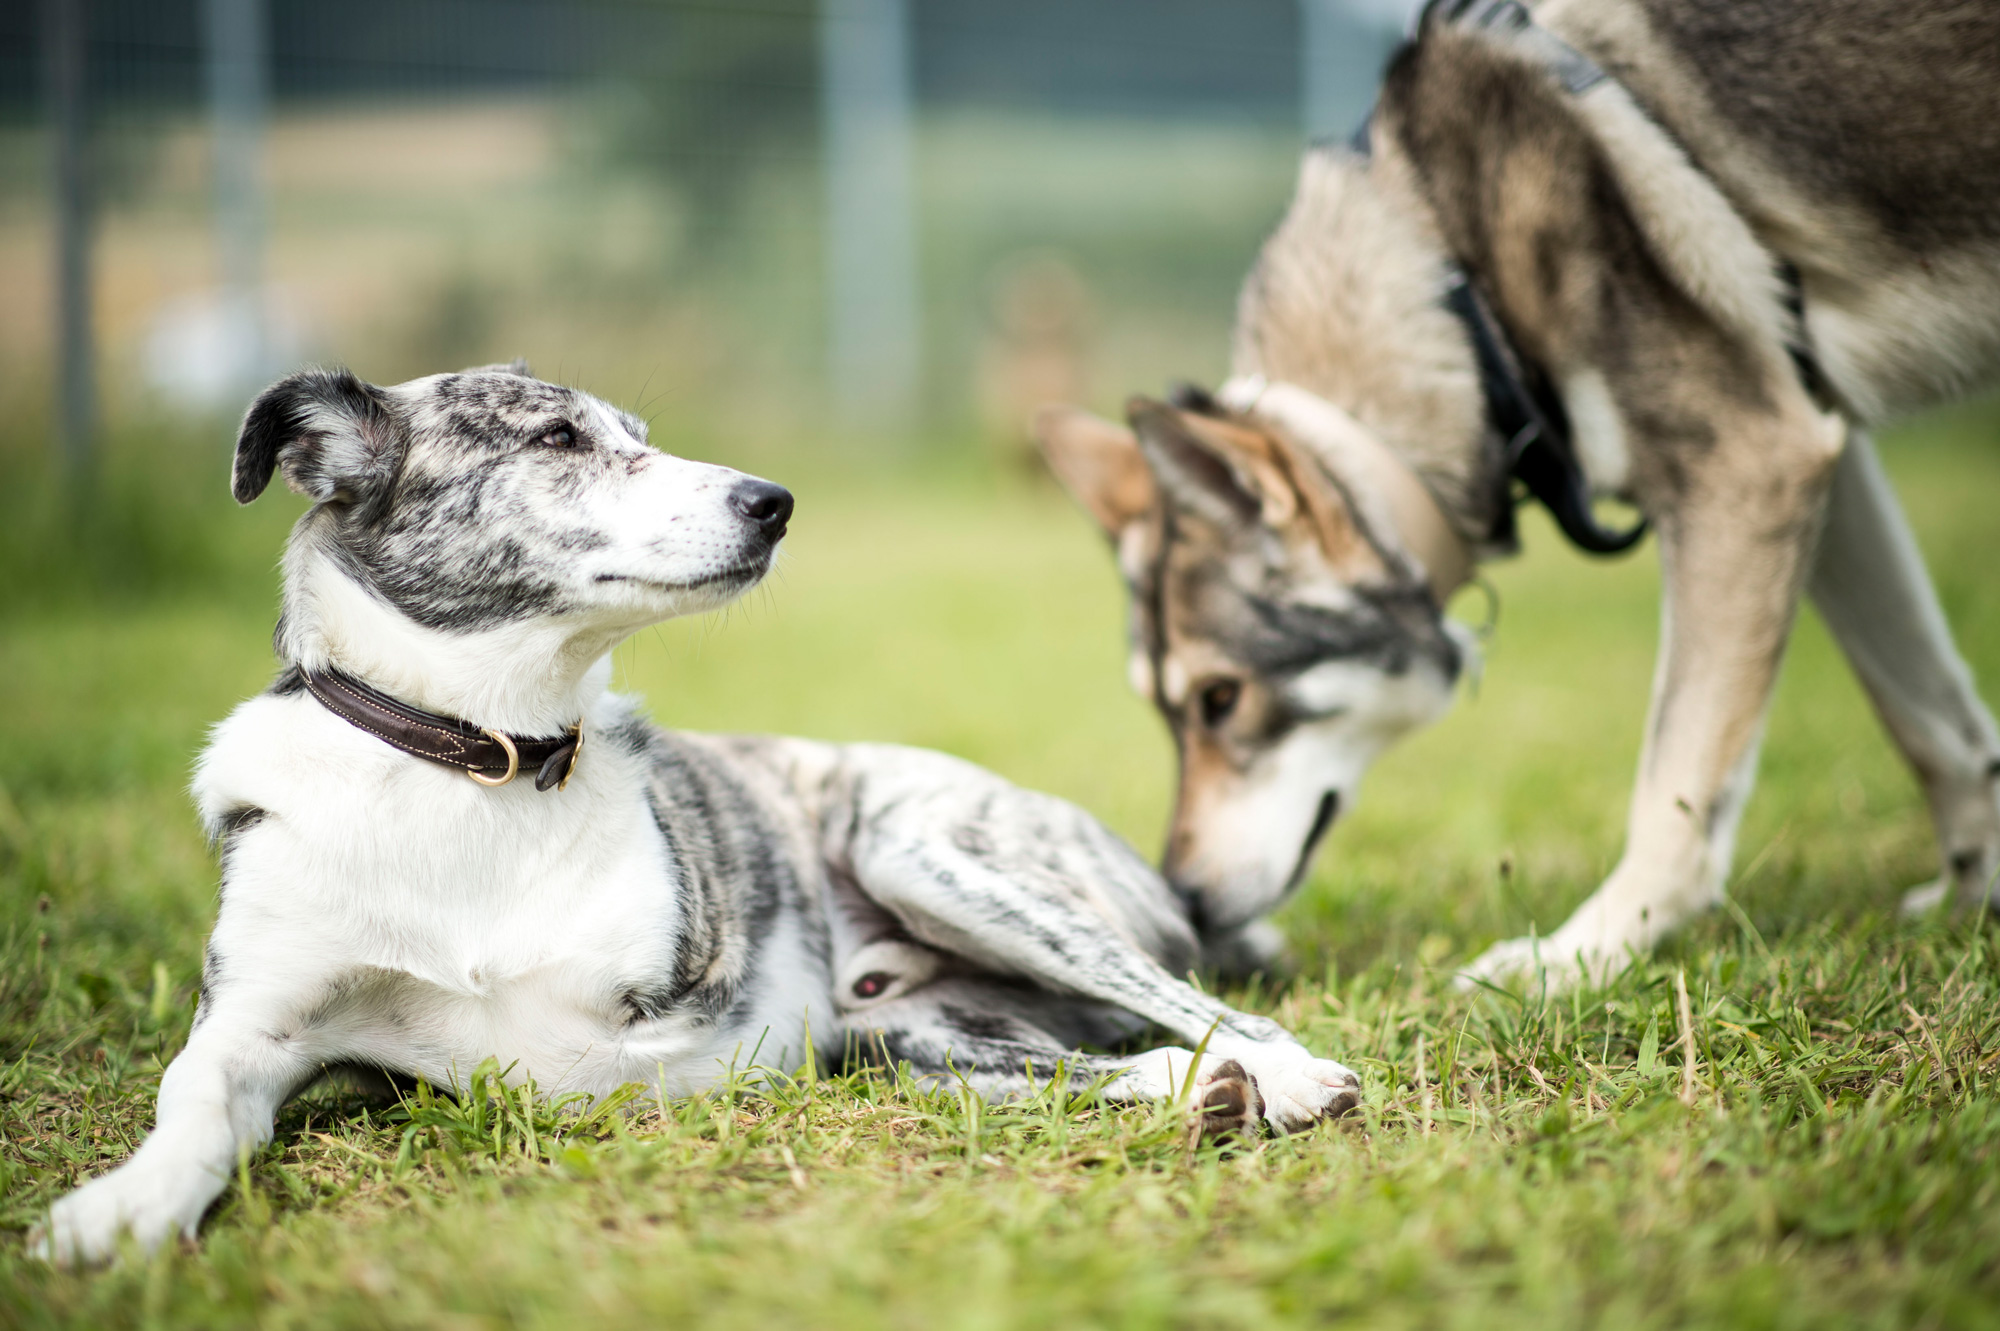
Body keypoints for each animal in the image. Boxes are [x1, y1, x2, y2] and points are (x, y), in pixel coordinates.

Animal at [35, 365, 1360, 1263]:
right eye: (559, 436)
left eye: (643, 436)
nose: (774, 501)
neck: (471, 762)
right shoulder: (257, 1025)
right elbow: (193, 1100)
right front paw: (122, 1204)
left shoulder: (657, 1007)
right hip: (909, 1037)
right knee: (1107, 1062)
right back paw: (1202, 1093)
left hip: (922, 855)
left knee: (1208, 1005)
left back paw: (1283, 1075)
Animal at [1040, 0, 2000, 975]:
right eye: (1165, 712)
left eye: (1219, 699)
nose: (1186, 905)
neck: (1457, 281)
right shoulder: (1822, 462)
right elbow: (1935, 724)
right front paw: (1975, 900)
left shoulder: (1752, 461)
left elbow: (1674, 789)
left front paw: (1574, 964)